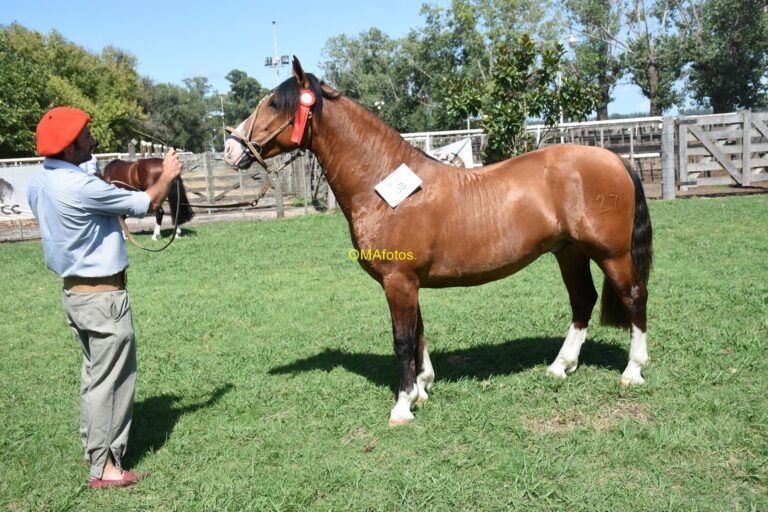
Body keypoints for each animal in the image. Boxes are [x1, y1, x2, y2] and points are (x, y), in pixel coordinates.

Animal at [224, 57, 653, 426]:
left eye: (275, 103)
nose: (231, 147)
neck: (382, 184)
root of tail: (615, 159)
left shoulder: (398, 281)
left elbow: (402, 340)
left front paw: (402, 407)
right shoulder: (408, 282)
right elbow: (419, 334)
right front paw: (422, 389)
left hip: (611, 253)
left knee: (634, 297)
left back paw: (632, 371)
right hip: (569, 252)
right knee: (583, 300)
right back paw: (560, 367)